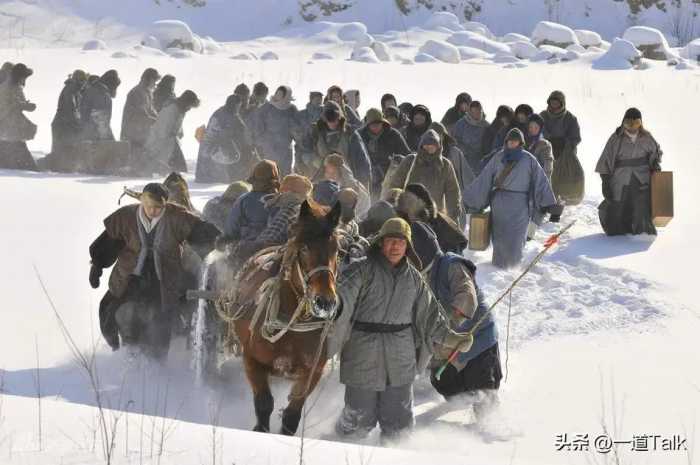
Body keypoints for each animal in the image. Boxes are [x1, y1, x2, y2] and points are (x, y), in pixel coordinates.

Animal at [235, 199, 342, 436]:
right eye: (304, 247)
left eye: (336, 249)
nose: (325, 302)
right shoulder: (251, 360)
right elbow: (264, 403)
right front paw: (259, 430)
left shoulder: (312, 371)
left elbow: (292, 414)